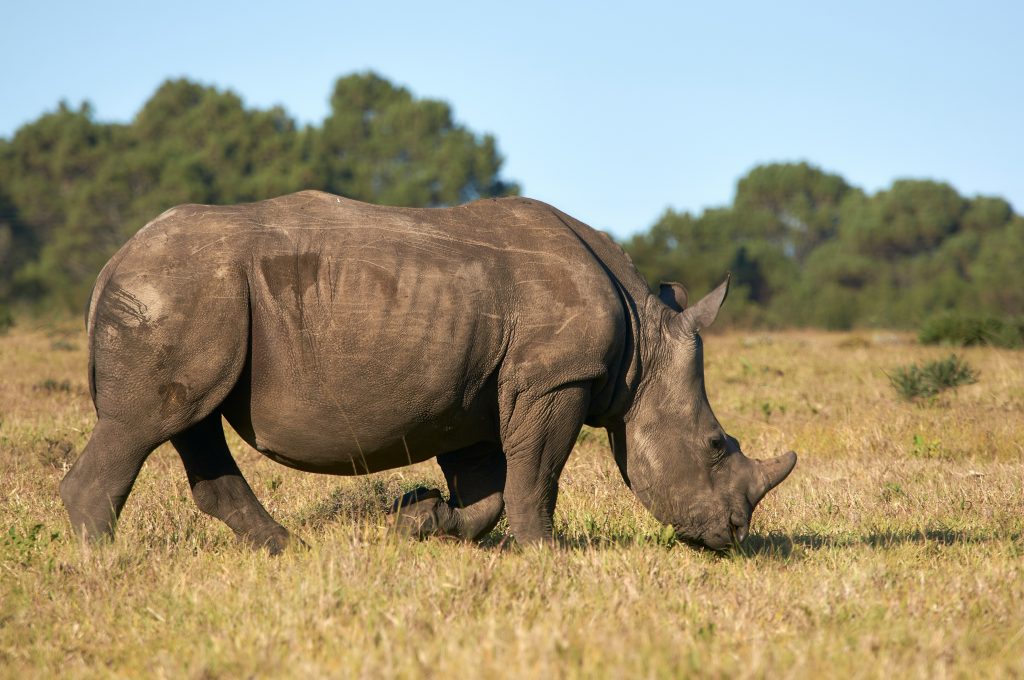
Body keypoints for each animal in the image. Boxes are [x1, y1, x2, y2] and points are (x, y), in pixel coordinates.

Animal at [60, 191, 796, 552]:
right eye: (715, 445)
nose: (733, 538)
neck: (644, 345)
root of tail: (109, 264)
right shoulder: (557, 379)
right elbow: (536, 477)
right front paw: (548, 555)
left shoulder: (478, 392)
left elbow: (487, 491)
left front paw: (416, 522)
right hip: (176, 292)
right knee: (147, 423)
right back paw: (108, 563)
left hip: (193, 300)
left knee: (193, 423)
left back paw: (284, 549)